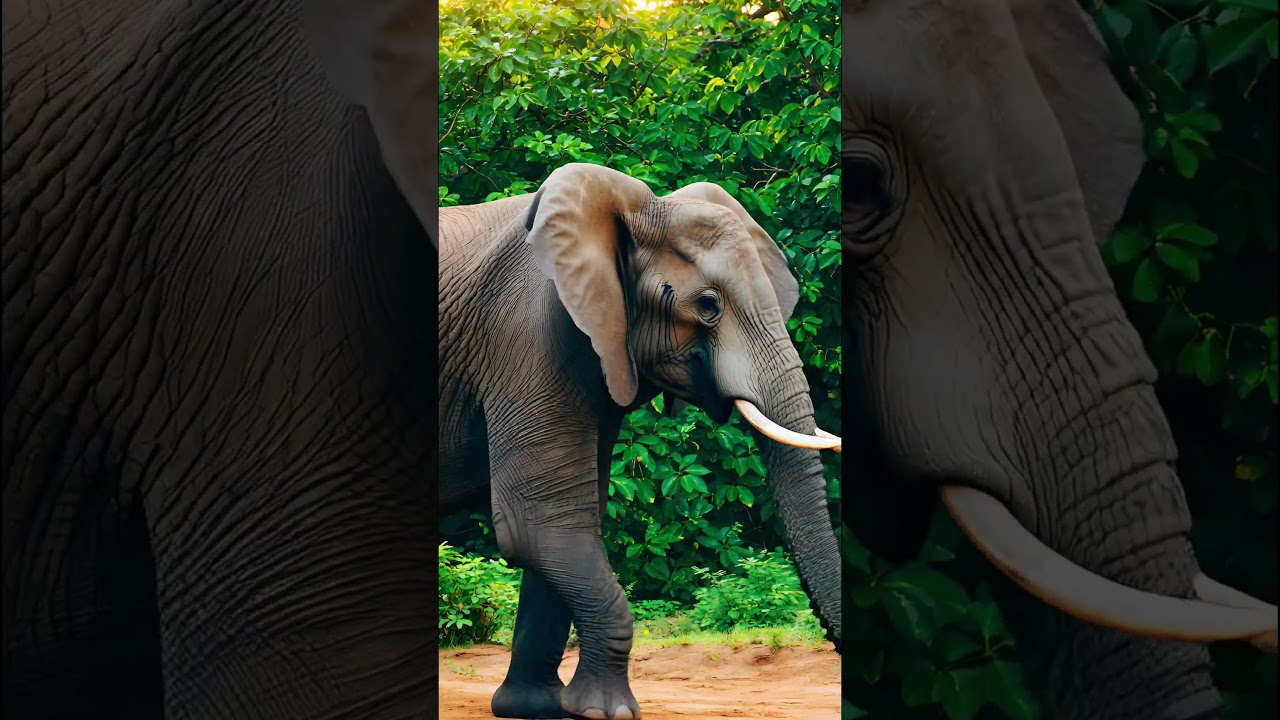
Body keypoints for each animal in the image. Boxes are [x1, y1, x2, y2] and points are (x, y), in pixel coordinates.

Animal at [438, 162, 843, 720]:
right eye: (708, 305)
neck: (637, 209)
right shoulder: (525, 335)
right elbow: (539, 525)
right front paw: (605, 713)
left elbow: (572, 522)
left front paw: (536, 707)